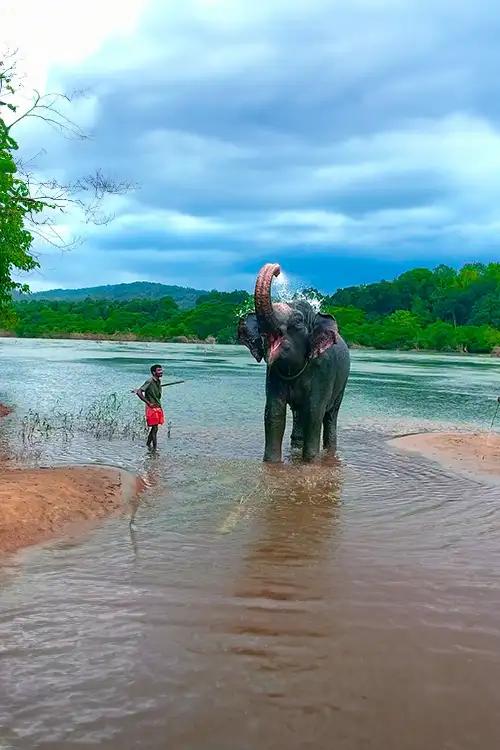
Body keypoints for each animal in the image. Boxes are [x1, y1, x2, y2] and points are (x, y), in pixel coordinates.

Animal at [239, 264, 352, 464]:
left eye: (298, 321)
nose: (278, 270)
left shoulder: (324, 371)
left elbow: (315, 413)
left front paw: (311, 462)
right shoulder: (273, 373)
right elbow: (274, 413)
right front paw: (271, 463)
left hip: (342, 383)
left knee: (330, 415)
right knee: (299, 414)